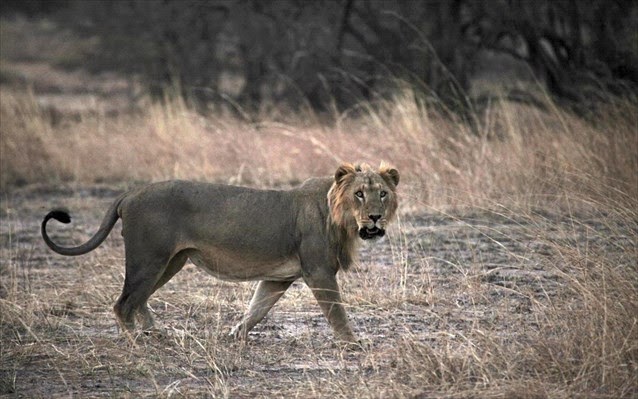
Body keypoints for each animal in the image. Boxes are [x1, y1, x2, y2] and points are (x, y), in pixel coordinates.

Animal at [41, 162, 400, 344]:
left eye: (382, 194)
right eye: (359, 194)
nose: (375, 217)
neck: (342, 220)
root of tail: (130, 192)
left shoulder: (278, 278)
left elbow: (257, 309)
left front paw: (235, 334)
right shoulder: (319, 272)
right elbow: (336, 312)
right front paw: (353, 343)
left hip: (171, 261)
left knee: (138, 299)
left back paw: (157, 331)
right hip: (149, 258)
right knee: (123, 303)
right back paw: (136, 340)